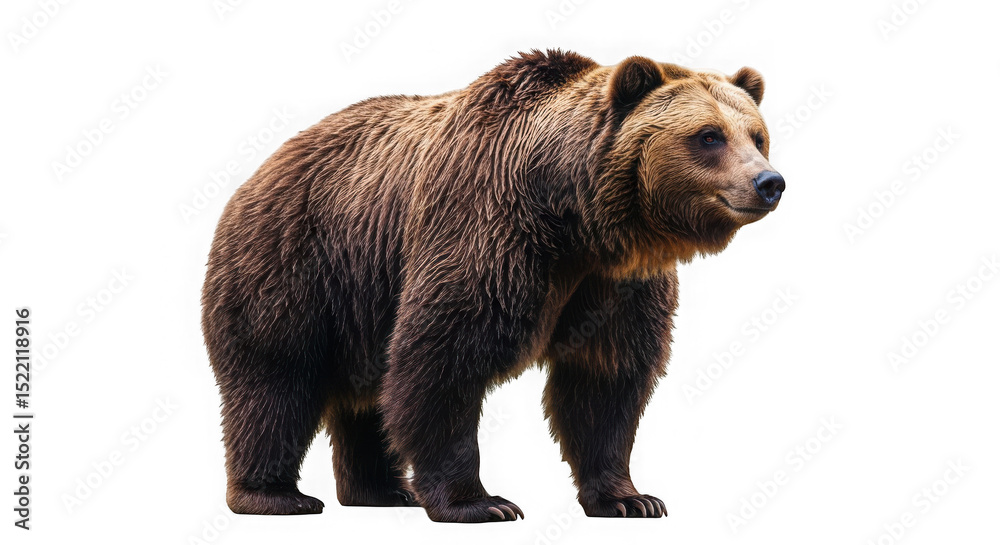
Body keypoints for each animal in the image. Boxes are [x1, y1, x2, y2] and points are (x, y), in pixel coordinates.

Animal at [201, 49, 784, 523]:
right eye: (708, 136)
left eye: (757, 135)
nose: (769, 182)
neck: (573, 220)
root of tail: (256, 175)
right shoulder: (486, 230)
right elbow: (444, 358)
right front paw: (480, 503)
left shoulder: (615, 283)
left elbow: (605, 378)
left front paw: (631, 498)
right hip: (297, 266)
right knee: (275, 380)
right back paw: (276, 495)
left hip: (359, 297)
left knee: (365, 397)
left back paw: (383, 492)